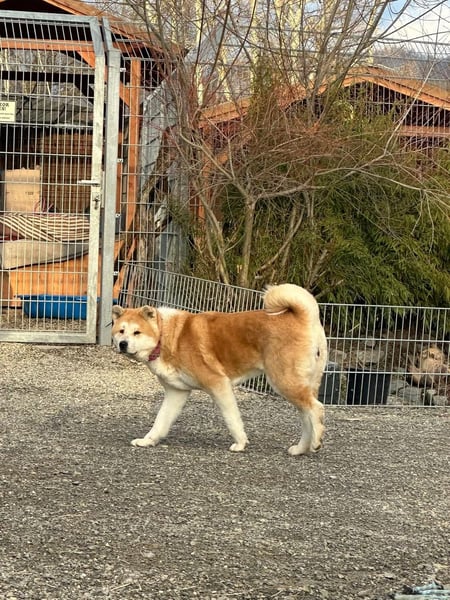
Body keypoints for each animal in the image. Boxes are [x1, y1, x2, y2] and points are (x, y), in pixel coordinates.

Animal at [112, 283, 328, 455]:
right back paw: (301, 448)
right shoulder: (176, 392)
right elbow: (160, 422)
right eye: (121, 331)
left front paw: (240, 443)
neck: (166, 335)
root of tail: (304, 317)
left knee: (316, 408)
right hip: (298, 385)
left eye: (137, 332)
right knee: (306, 415)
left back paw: (316, 442)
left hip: (283, 381)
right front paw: (147, 440)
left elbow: (232, 419)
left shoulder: (218, 384)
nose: (122, 344)